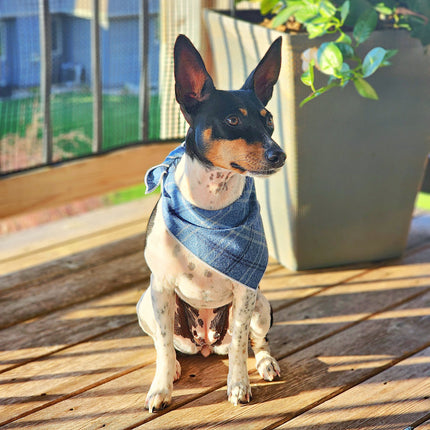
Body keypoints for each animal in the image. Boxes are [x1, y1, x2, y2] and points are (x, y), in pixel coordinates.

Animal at [137, 32, 286, 410]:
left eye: (269, 119)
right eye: (232, 120)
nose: (279, 154)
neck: (211, 210)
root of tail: (205, 342)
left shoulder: (245, 291)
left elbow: (239, 345)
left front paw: (238, 384)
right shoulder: (161, 286)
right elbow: (163, 345)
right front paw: (161, 388)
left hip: (261, 304)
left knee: (255, 341)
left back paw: (265, 363)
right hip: (147, 304)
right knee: (165, 345)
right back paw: (175, 366)